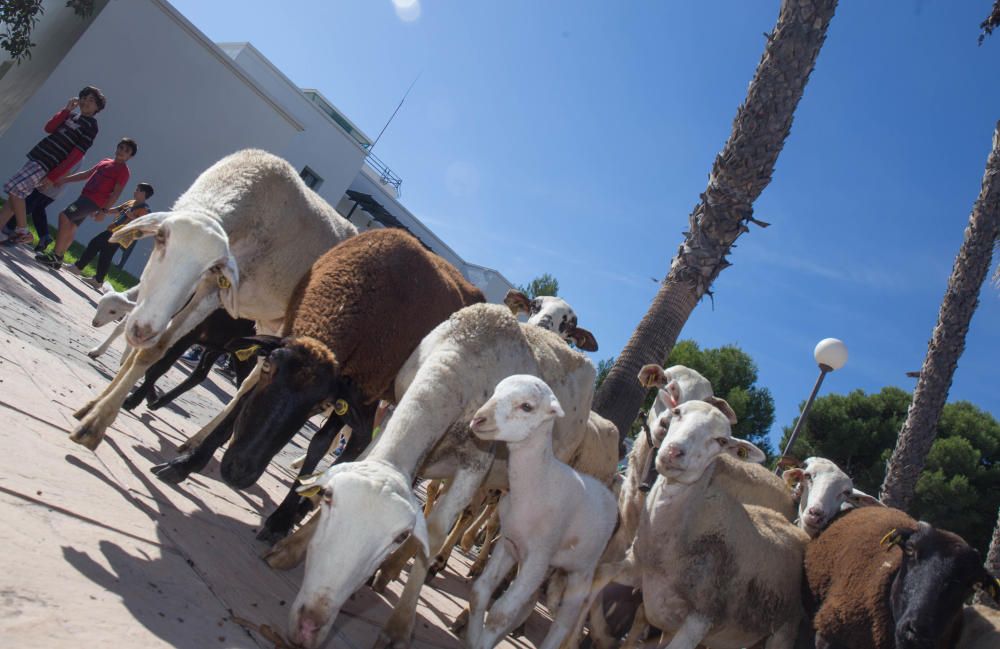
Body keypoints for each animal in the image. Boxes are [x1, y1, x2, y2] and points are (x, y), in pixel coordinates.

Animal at [67, 149, 356, 448]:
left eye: (211, 266)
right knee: (250, 381)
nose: (142, 330)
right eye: (160, 238)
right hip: (269, 324)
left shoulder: (213, 291)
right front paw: (93, 407)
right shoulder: (198, 291)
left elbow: (153, 351)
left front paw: (96, 423)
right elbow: (151, 350)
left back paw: (200, 443)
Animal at [466, 372, 616, 648]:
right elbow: (480, 593)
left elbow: (501, 612)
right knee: (530, 603)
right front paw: (474, 640)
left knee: (564, 623)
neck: (539, 482)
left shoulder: (538, 556)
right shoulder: (508, 544)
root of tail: (607, 491)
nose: (479, 418)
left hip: (582, 569)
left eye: (527, 406)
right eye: (496, 390)